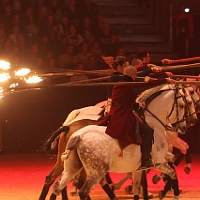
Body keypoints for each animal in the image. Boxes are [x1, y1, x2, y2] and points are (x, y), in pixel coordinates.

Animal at [48, 83, 194, 199]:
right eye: (183, 105)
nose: (185, 126)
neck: (153, 123)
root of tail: (77, 135)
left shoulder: (139, 167)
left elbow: (138, 185)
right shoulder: (158, 162)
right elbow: (173, 173)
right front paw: (171, 192)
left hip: (72, 168)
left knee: (56, 186)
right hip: (96, 171)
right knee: (82, 190)